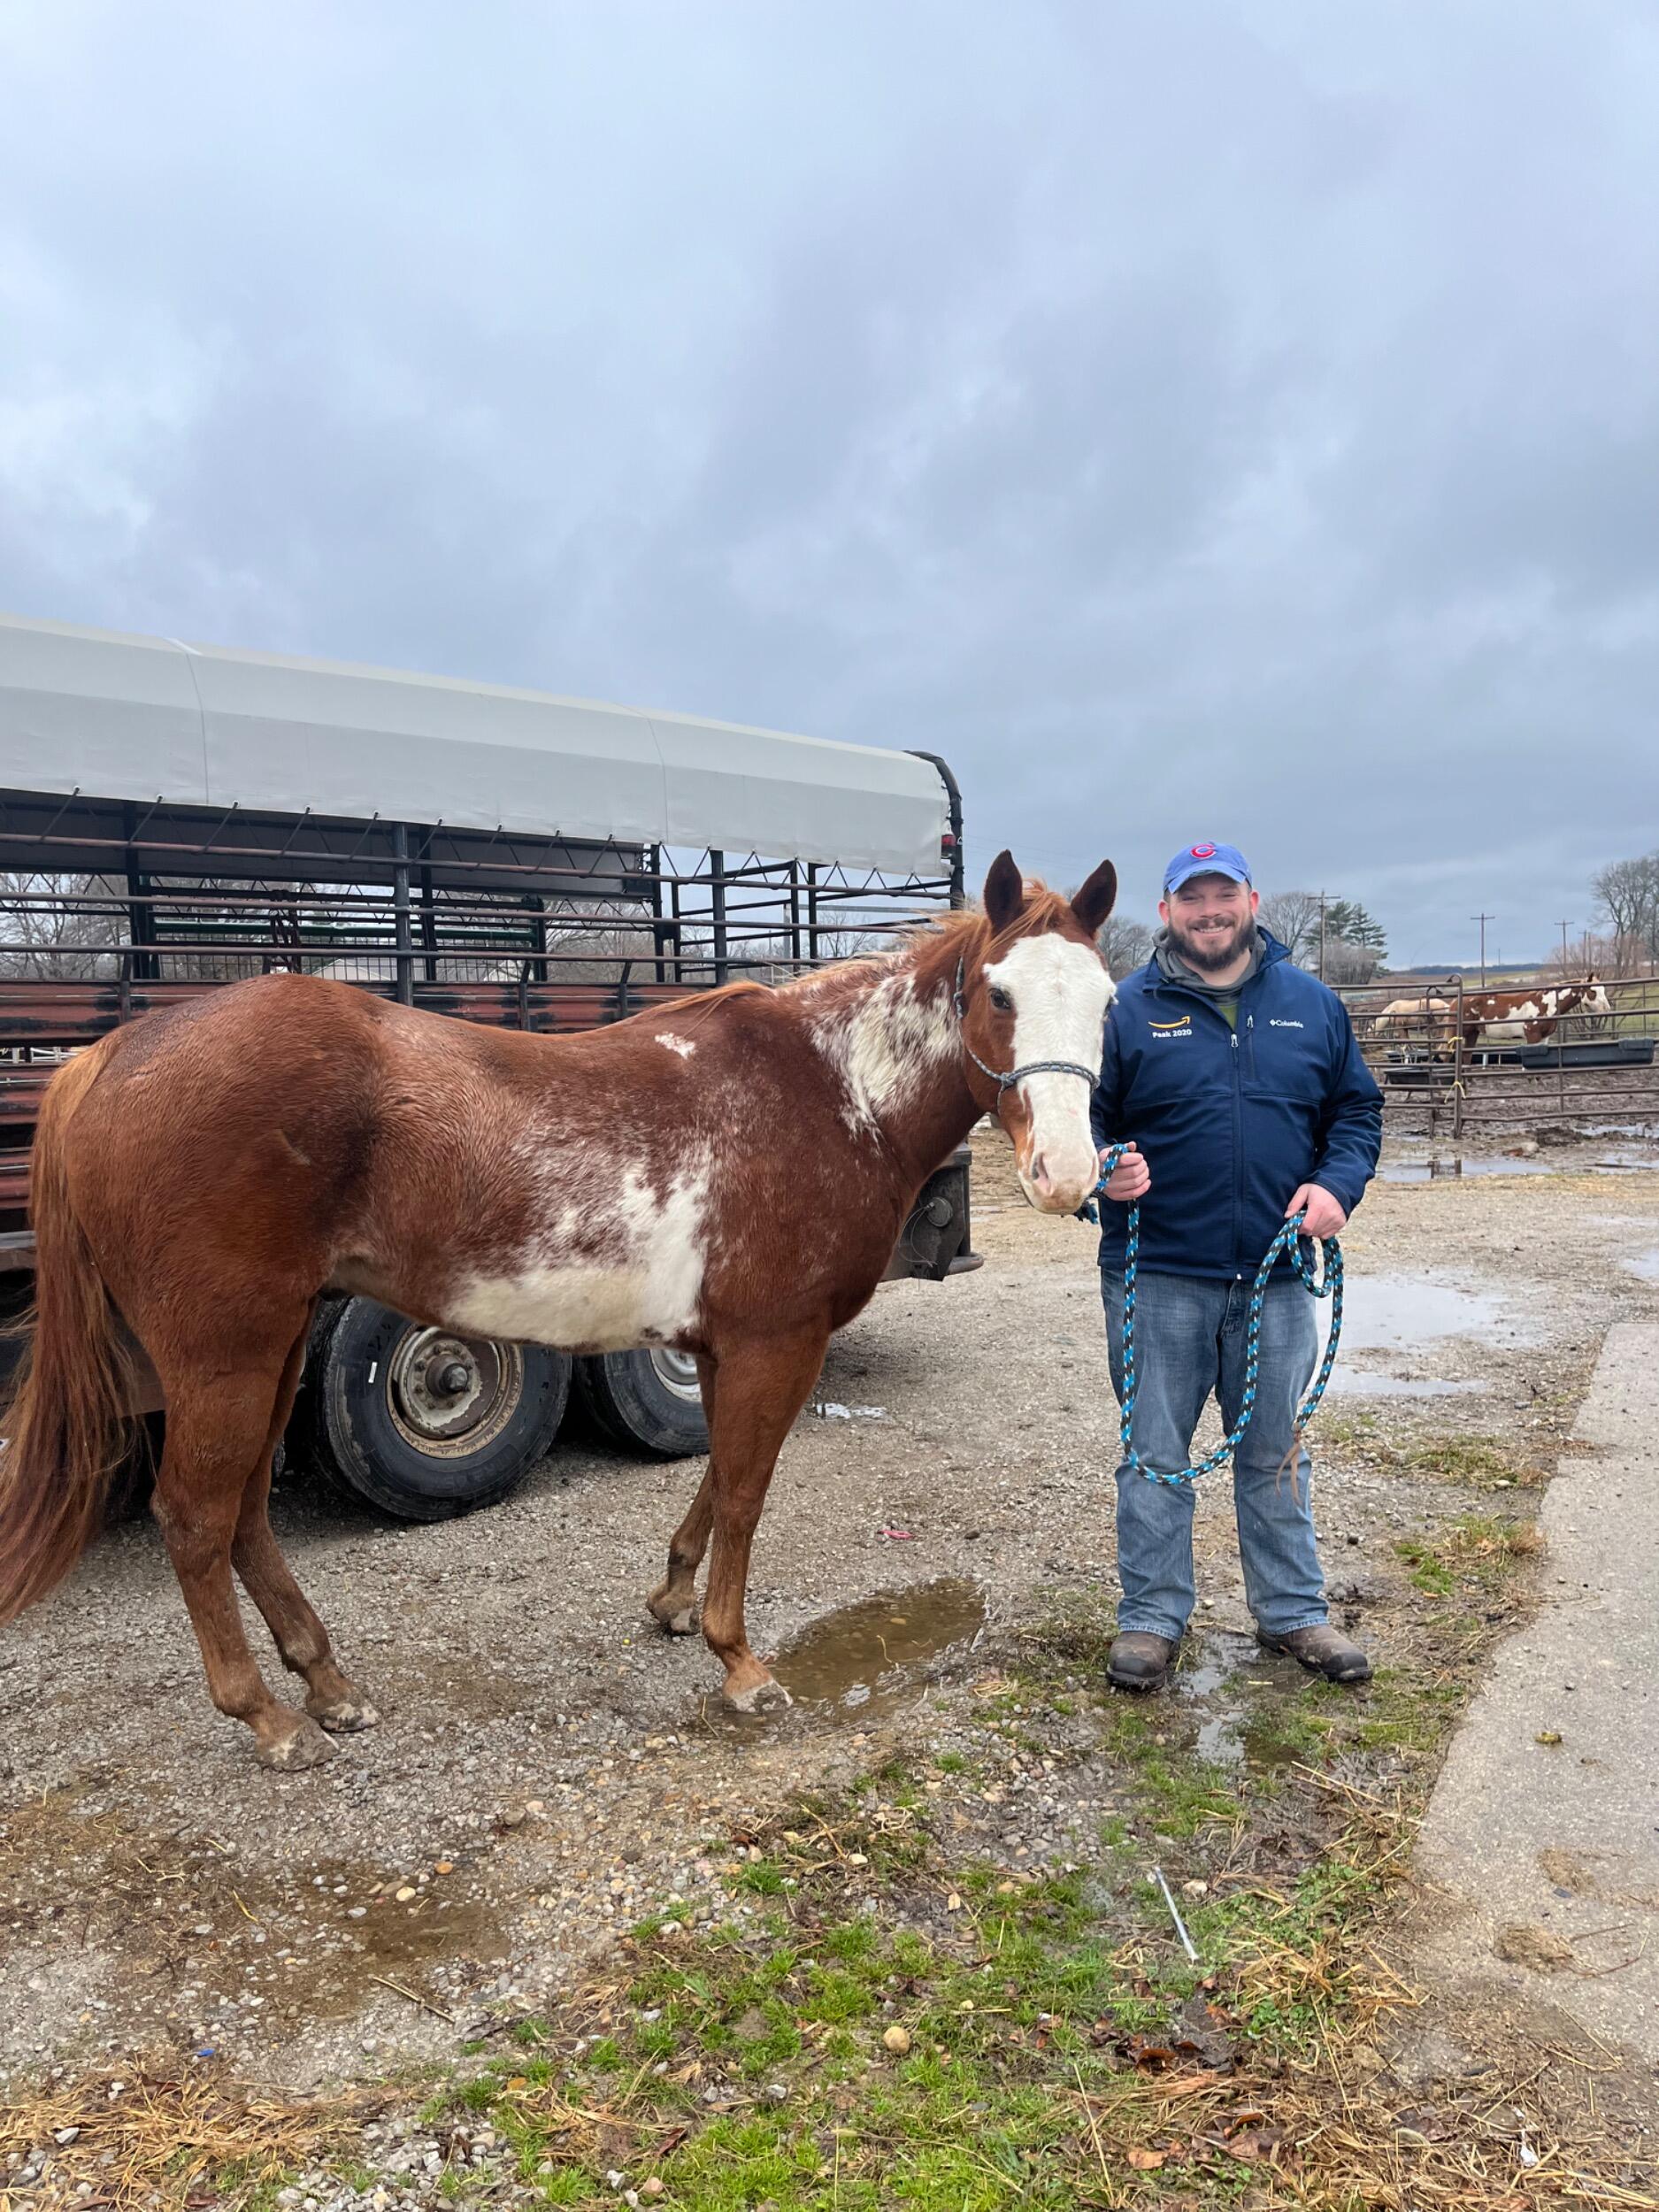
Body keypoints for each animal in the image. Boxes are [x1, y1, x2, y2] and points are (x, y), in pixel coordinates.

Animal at [0, 850, 1117, 1769]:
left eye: (1108, 1000)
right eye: (1000, 993)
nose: (1066, 1176)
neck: (828, 1091)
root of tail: (109, 1058)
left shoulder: (721, 1343)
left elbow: (716, 1478)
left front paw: (674, 1602)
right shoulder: (776, 1342)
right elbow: (747, 1491)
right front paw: (741, 1665)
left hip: (269, 1352)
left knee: (242, 1516)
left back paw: (326, 1686)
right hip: (224, 1355)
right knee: (195, 1518)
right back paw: (269, 1720)